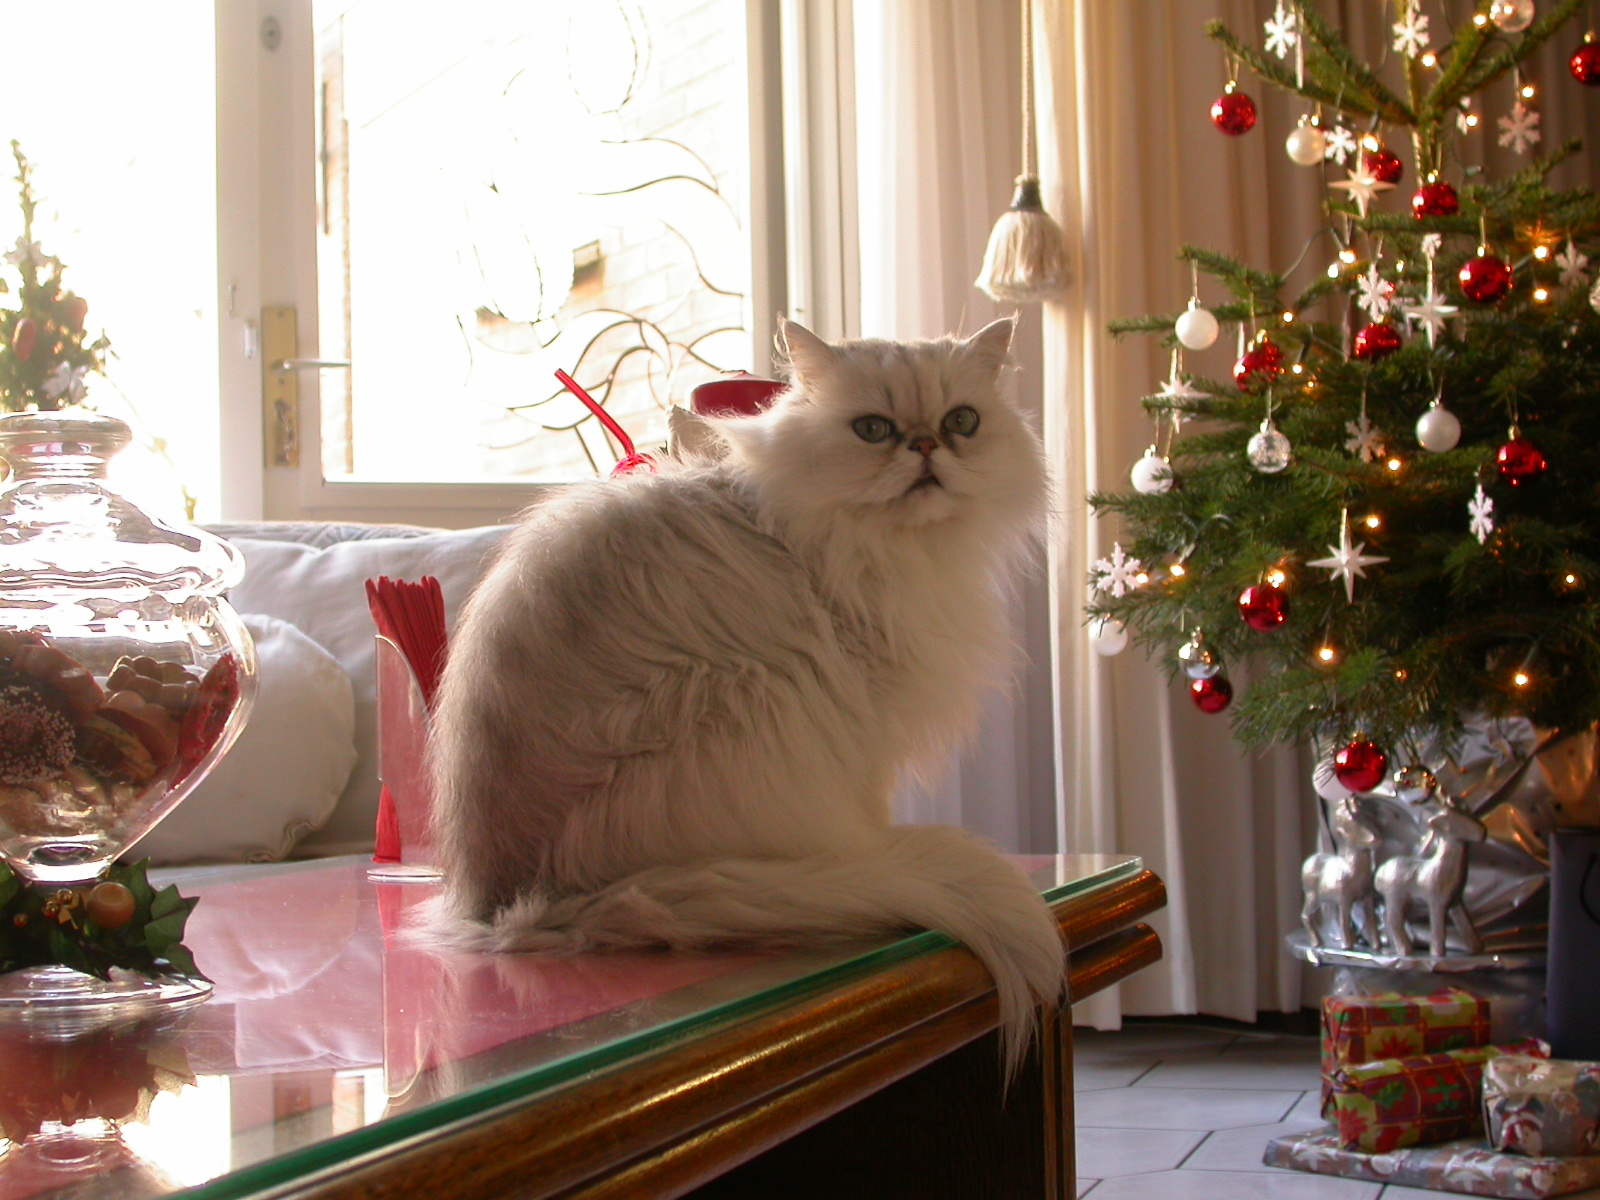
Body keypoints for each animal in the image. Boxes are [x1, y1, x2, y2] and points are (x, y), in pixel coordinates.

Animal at [432, 316, 1068, 1062]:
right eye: (874, 430)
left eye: (961, 422)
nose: (925, 445)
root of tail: (509, 908)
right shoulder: (864, 716)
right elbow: (872, 804)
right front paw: (881, 846)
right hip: (753, 697)